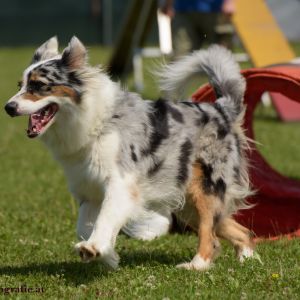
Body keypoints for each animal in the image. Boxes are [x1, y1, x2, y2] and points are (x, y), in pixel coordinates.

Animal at [3, 37, 254, 270]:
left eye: (38, 85)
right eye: (20, 85)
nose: (8, 107)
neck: (96, 123)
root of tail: (221, 108)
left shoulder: (120, 184)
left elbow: (105, 218)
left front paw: (94, 247)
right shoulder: (89, 189)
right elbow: (83, 227)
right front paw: (108, 256)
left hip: (204, 190)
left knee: (209, 234)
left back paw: (196, 265)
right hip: (186, 202)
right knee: (239, 230)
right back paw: (247, 260)